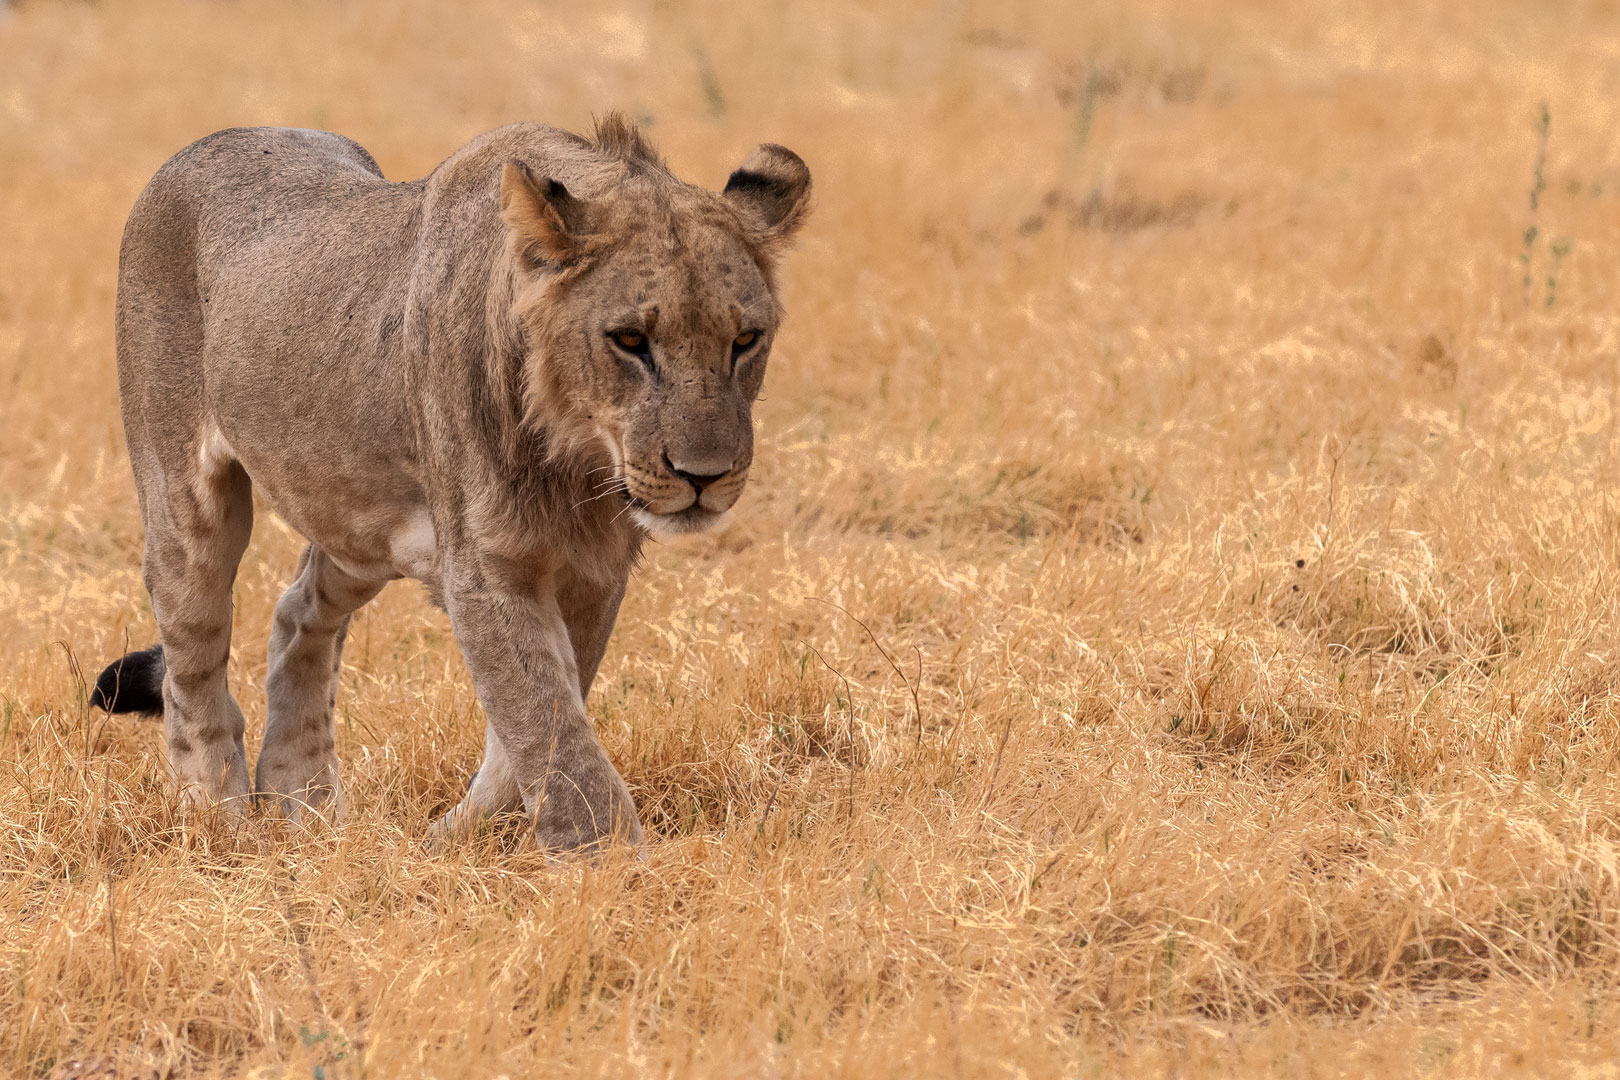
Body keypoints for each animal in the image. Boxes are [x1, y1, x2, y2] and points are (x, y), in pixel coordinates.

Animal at [88, 116, 810, 854]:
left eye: (746, 339)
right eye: (631, 339)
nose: (704, 477)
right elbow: (551, 729)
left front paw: (447, 841)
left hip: (361, 524)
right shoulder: (485, 568)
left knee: (297, 612)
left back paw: (305, 799)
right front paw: (615, 864)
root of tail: (207, 143)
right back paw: (220, 817)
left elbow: (533, 731)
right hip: (186, 503)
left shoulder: (592, 572)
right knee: (190, 660)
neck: (577, 459)